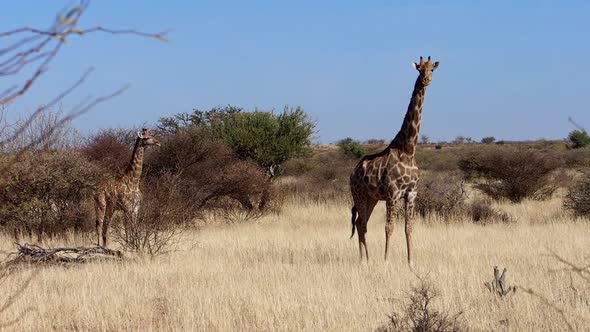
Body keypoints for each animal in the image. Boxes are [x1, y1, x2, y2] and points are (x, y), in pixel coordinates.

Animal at [352, 57, 440, 264]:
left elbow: (409, 227)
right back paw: (365, 259)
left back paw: (365, 258)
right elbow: (389, 227)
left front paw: (411, 262)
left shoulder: (411, 194)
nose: (426, 80)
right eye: (419, 69)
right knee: (362, 223)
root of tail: (352, 173)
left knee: (360, 222)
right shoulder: (392, 194)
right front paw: (386, 260)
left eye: (432, 69)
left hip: (371, 198)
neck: (408, 150)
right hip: (359, 194)